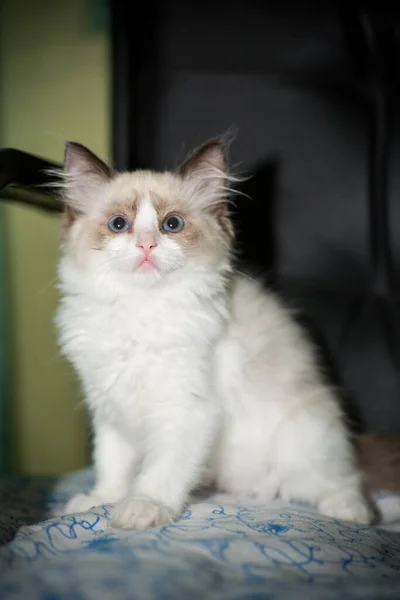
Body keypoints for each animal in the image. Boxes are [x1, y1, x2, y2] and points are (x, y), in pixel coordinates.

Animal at [56, 138, 376, 528]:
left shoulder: (186, 410)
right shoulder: (110, 408)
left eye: (172, 224)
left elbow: (159, 472)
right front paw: (100, 501)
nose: (146, 245)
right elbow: (111, 464)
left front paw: (141, 508)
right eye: (119, 224)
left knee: (341, 480)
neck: (140, 308)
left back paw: (351, 513)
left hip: (303, 443)